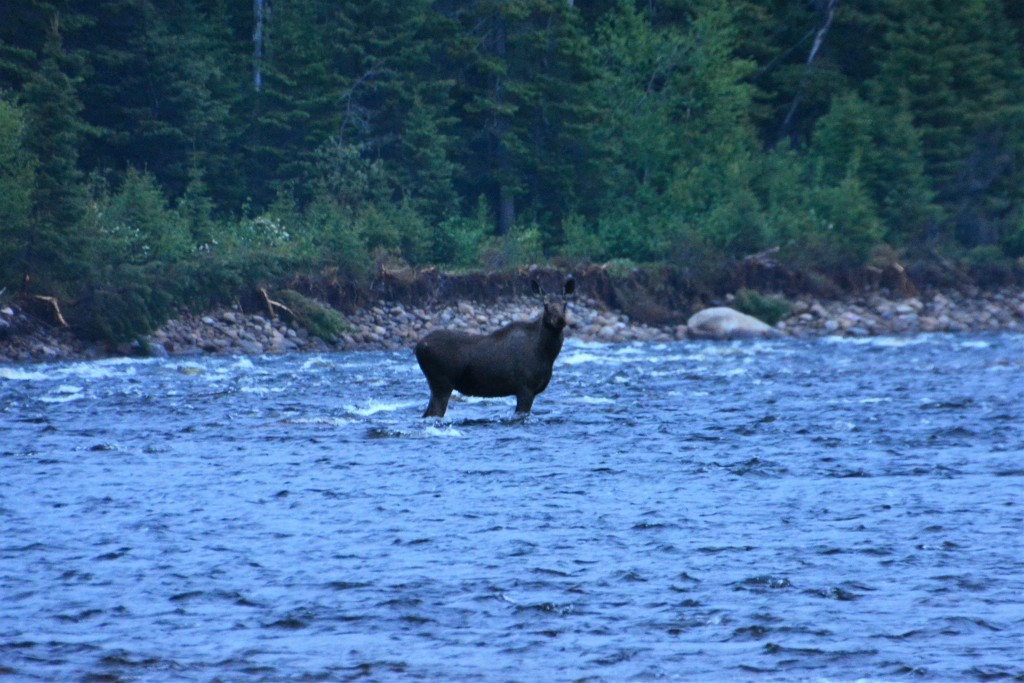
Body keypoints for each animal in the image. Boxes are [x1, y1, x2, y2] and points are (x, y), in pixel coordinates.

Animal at [415, 276, 577, 417]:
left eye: (565, 304)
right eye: (545, 304)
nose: (560, 320)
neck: (547, 354)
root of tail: (417, 347)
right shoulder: (525, 388)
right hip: (442, 383)